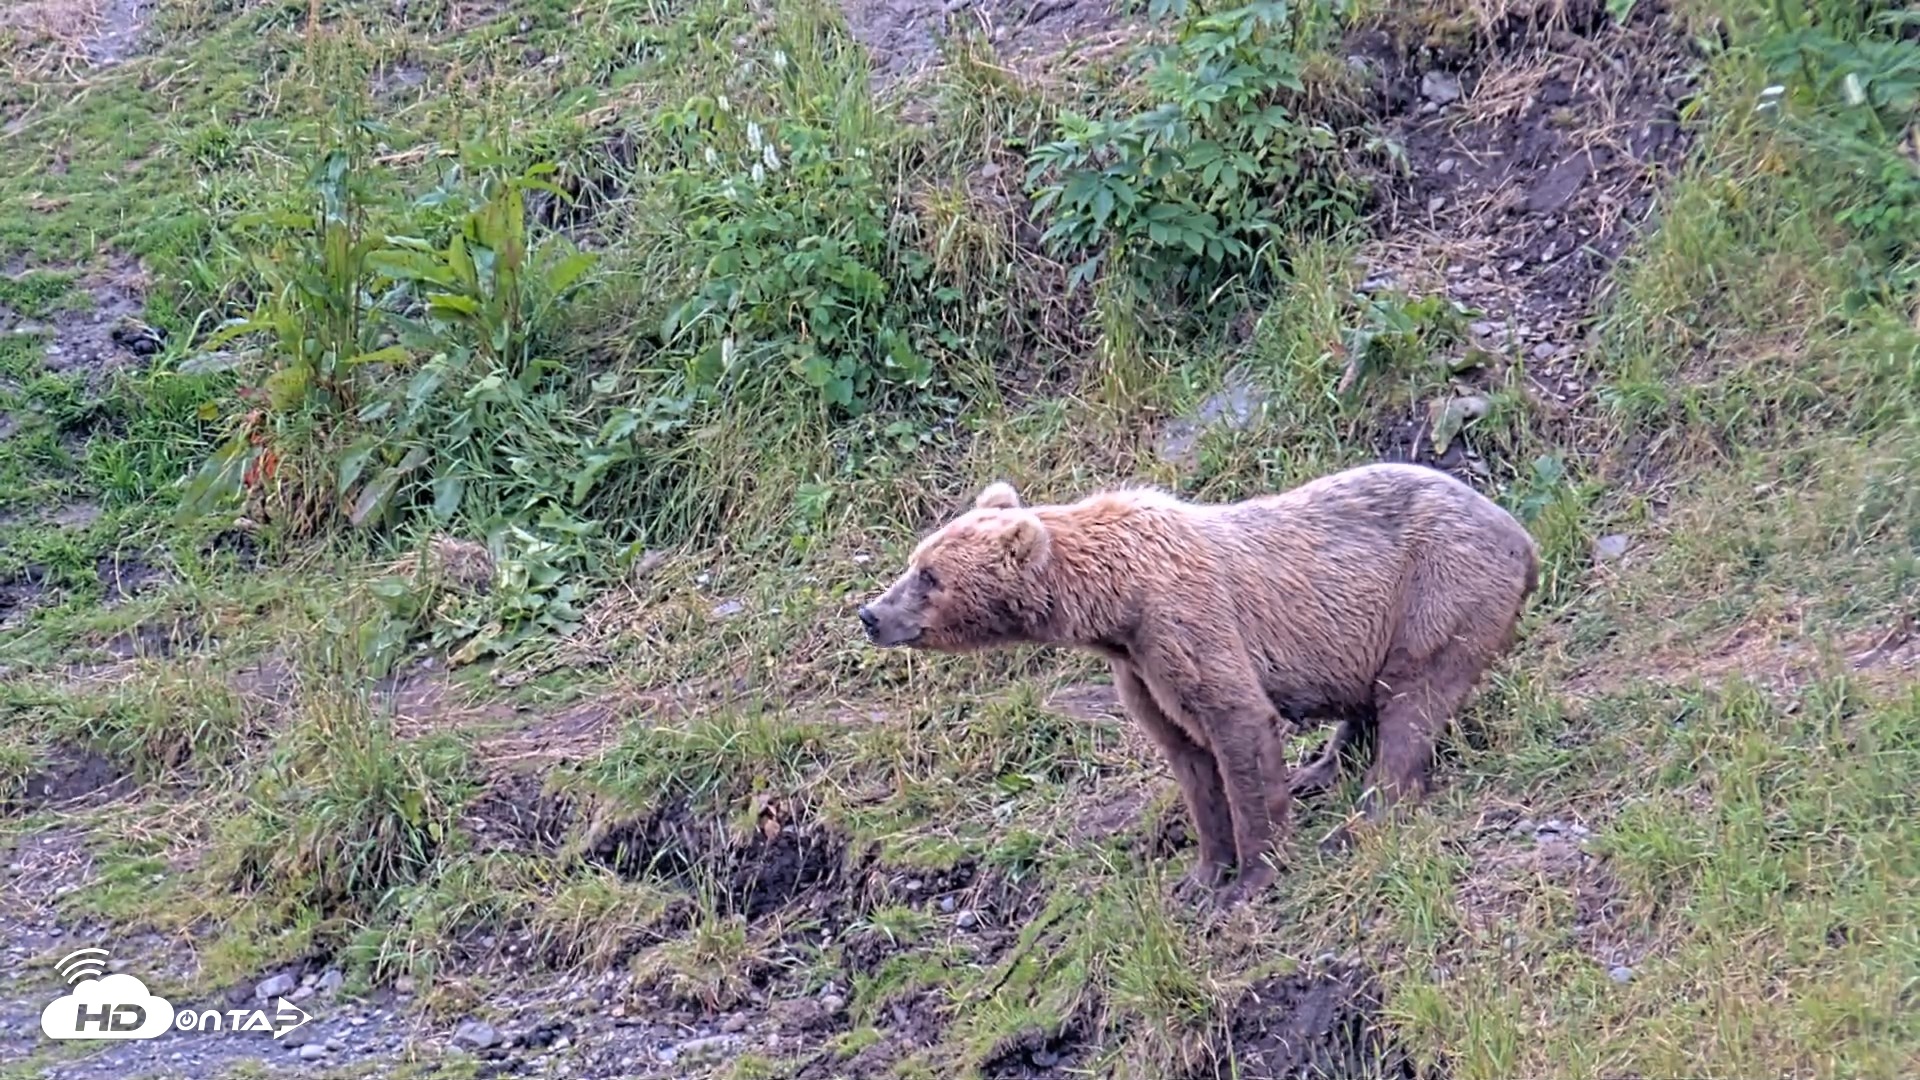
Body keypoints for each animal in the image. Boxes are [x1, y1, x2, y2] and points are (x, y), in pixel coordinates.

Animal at [856, 461, 1541, 909]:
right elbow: (1187, 757)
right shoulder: (1140, 666)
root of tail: (1523, 534)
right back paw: (1321, 769)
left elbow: (1237, 727)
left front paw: (1252, 877)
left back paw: (1364, 812)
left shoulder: (1185, 621)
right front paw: (1200, 874)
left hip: (1436, 587)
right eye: (916, 562)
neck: (1115, 604)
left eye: (929, 576)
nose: (869, 614)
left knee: (1412, 696)